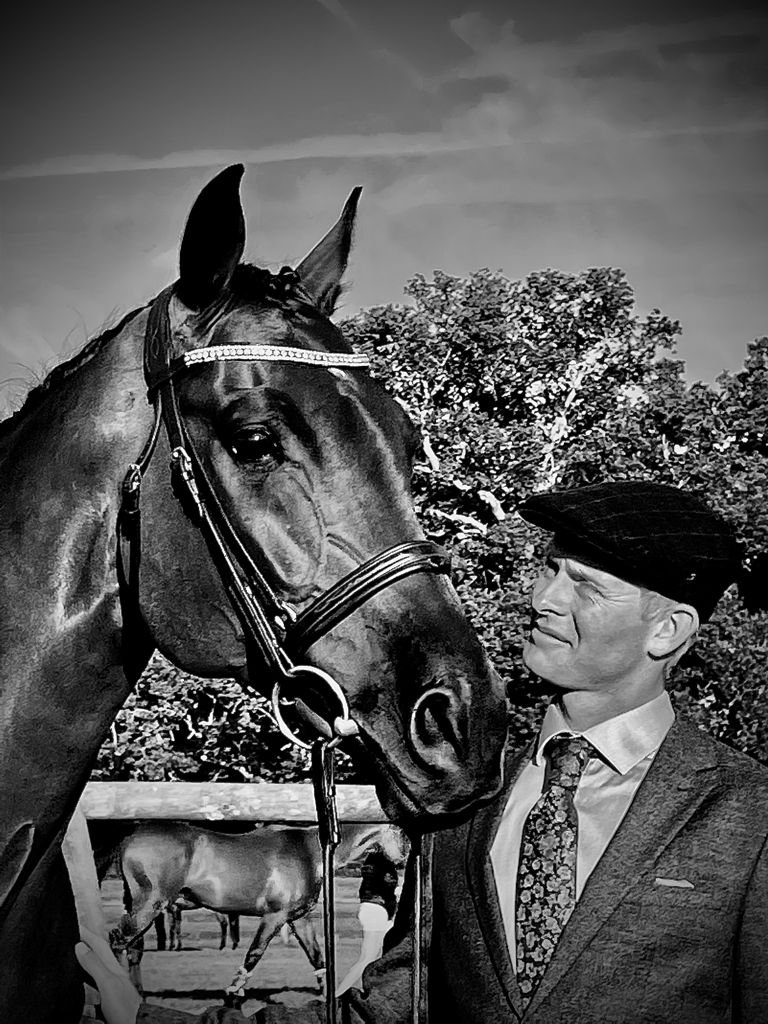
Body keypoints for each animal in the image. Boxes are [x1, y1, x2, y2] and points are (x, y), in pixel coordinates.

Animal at [110, 822, 403, 999]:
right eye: (403, 836)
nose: (401, 863)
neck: (310, 852)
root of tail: (130, 839)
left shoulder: (299, 918)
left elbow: (317, 957)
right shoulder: (274, 916)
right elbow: (253, 955)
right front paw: (234, 993)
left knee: (132, 948)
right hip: (151, 904)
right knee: (119, 941)